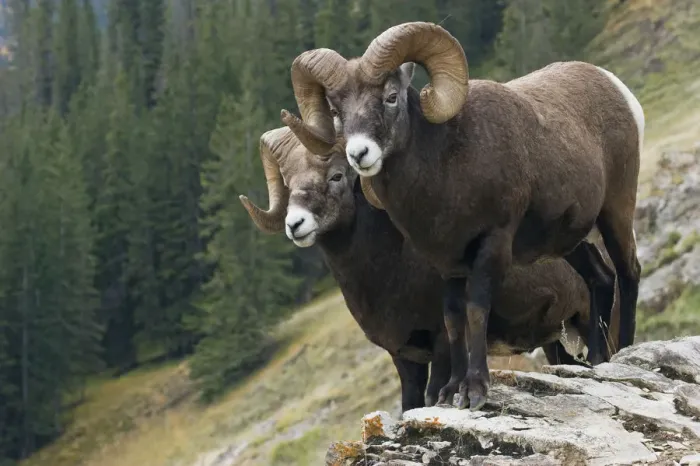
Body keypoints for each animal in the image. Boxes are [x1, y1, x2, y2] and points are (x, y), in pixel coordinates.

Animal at [238, 125, 621, 412]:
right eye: (289, 185)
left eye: (335, 176)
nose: (295, 225)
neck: (389, 269)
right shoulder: (404, 358)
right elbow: (410, 405)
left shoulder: (439, 344)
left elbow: (436, 394)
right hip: (556, 340)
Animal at [279, 21, 643, 410]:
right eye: (337, 110)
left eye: (391, 96)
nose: (359, 154)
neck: (446, 168)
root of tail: (615, 87)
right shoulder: (448, 265)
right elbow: (455, 319)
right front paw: (451, 391)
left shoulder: (491, 246)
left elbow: (475, 311)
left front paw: (475, 391)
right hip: (571, 246)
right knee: (601, 278)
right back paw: (598, 361)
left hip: (616, 211)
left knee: (629, 271)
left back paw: (625, 351)